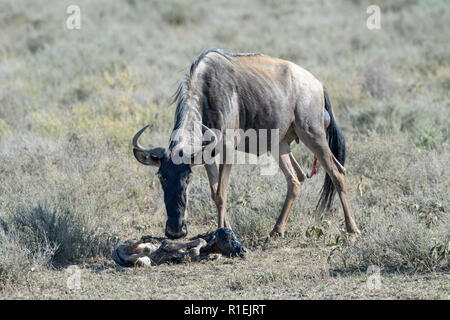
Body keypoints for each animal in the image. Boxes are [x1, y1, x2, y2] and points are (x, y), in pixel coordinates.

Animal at [111, 228, 246, 268]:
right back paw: (147, 238)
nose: (244, 250)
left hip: (143, 261)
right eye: (227, 237)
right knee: (141, 245)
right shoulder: (170, 244)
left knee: (143, 252)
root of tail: (114, 253)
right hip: (127, 245)